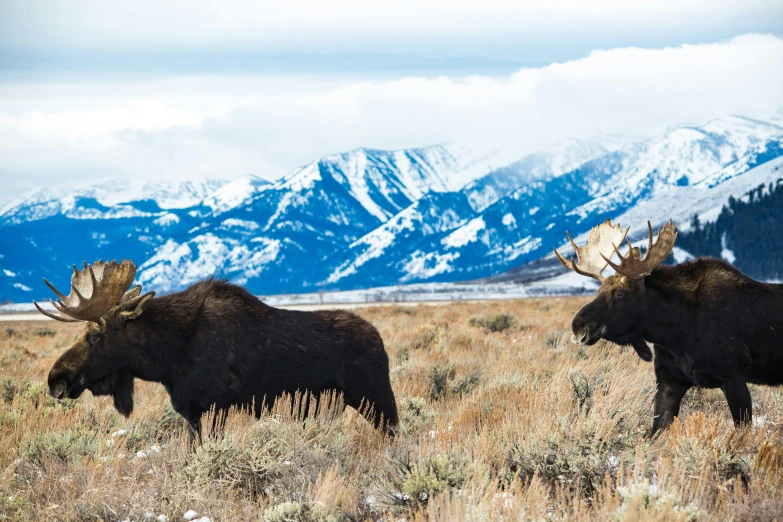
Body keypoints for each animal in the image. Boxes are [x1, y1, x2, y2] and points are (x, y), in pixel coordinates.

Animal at [34, 258, 402, 436]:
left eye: (95, 336)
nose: (56, 379)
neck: (165, 359)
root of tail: (380, 340)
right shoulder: (193, 412)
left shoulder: (213, 407)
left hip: (377, 399)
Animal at [556, 218, 783, 434]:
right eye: (598, 291)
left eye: (620, 293)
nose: (578, 326)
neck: (673, 332)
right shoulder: (669, 381)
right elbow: (656, 431)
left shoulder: (733, 376)